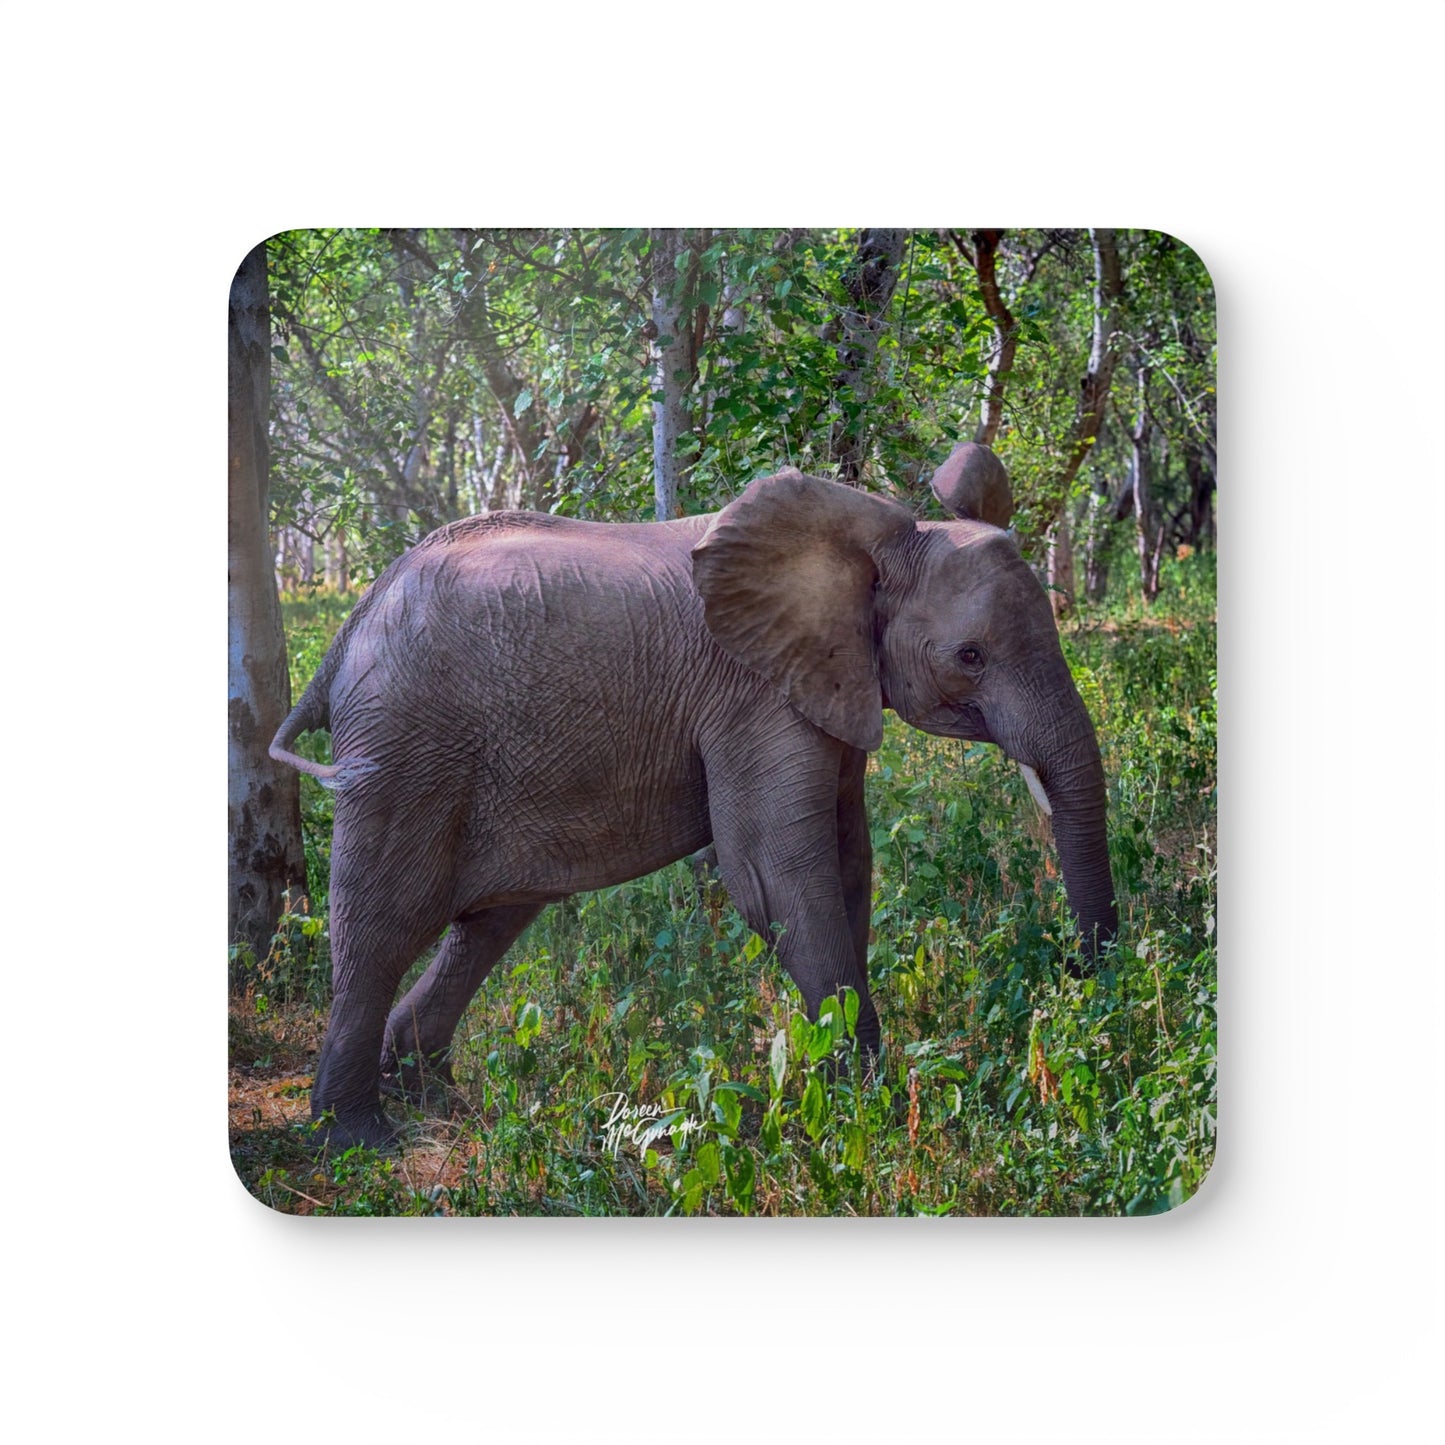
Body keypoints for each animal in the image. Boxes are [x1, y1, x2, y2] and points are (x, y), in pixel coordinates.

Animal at [269, 443, 1117, 1149]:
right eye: (969, 657)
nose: (1082, 980)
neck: (876, 540)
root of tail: (350, 628)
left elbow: (848, 863)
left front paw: (856, 1088)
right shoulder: (753, 693)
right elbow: (775, 874)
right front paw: (863, 1107)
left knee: (491, 919)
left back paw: (432, 1098)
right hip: (408, 743)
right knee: (385, 921)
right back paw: (359, 1137)